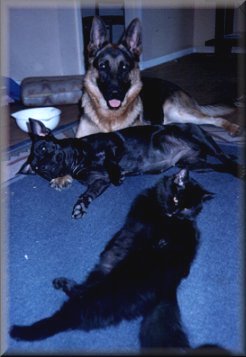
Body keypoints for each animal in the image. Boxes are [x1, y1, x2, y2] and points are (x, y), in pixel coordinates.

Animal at [9, 168, 213, 350]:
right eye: (177, 199)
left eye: (187, 208)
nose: (175, 212)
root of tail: (167, 290)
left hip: (104, 291)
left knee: (68, 312)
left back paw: (21, 328)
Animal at [19, 119, 244, 218]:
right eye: (38, 168)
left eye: (44, 147)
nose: (44, 165)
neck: (77, 160)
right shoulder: (98, 182)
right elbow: (88, 194)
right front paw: (80, 206)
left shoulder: (112, 146)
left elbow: (111, 161)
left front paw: (118, 174)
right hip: (195, 165)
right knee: (221, 165)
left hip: (199, 137)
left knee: (224, 157)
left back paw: (237, 166)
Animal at [75, 16, 240, 138]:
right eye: (103, 66)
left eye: (124, 67)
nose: (115, 94)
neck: (109, 116)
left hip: (178, 112)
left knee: (214, 119)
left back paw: (233, 127)